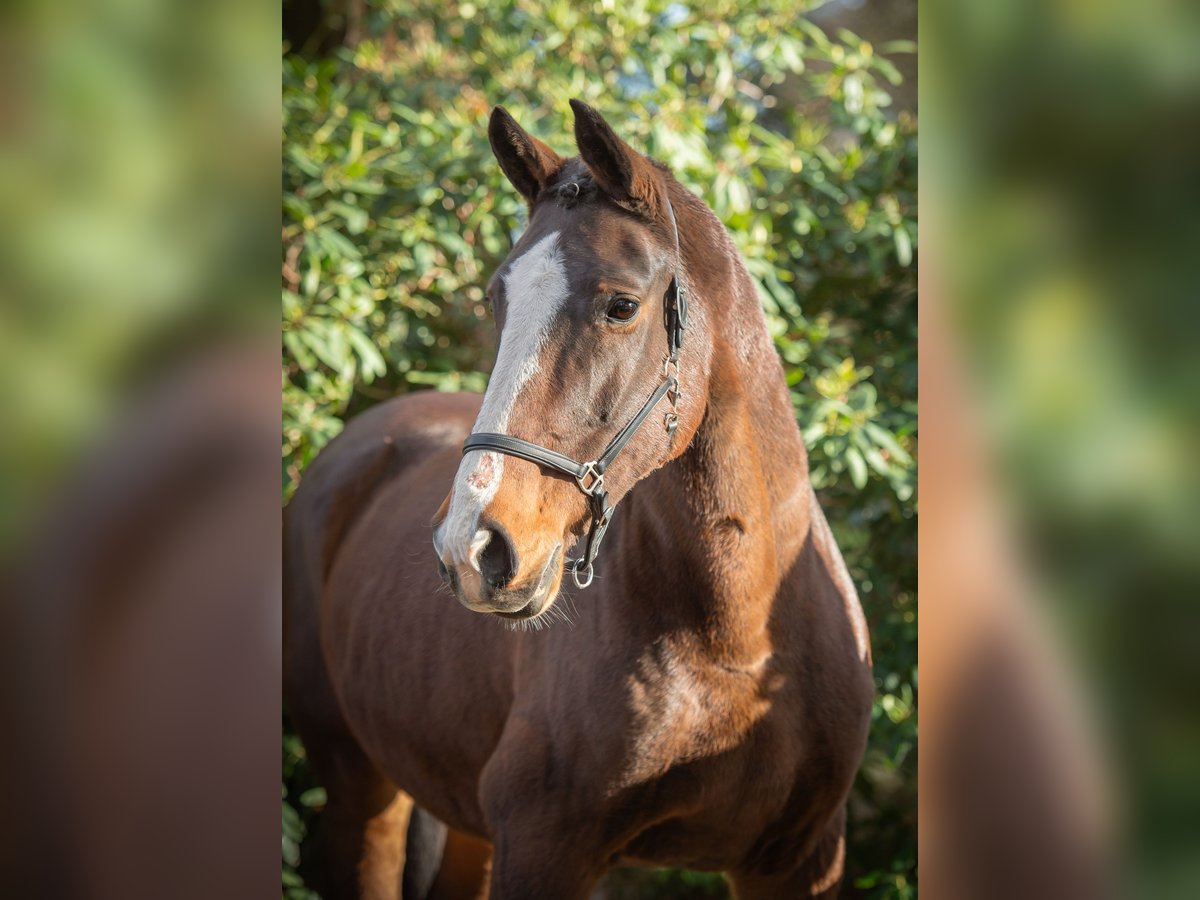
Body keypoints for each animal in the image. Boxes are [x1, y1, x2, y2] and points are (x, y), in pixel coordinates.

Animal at [285, 100, 878, 900]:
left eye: (621, 305)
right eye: (497, 300)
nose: (471, 548)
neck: (739, 642)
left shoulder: (800, 860)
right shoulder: (544, 847)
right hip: (360, 789)